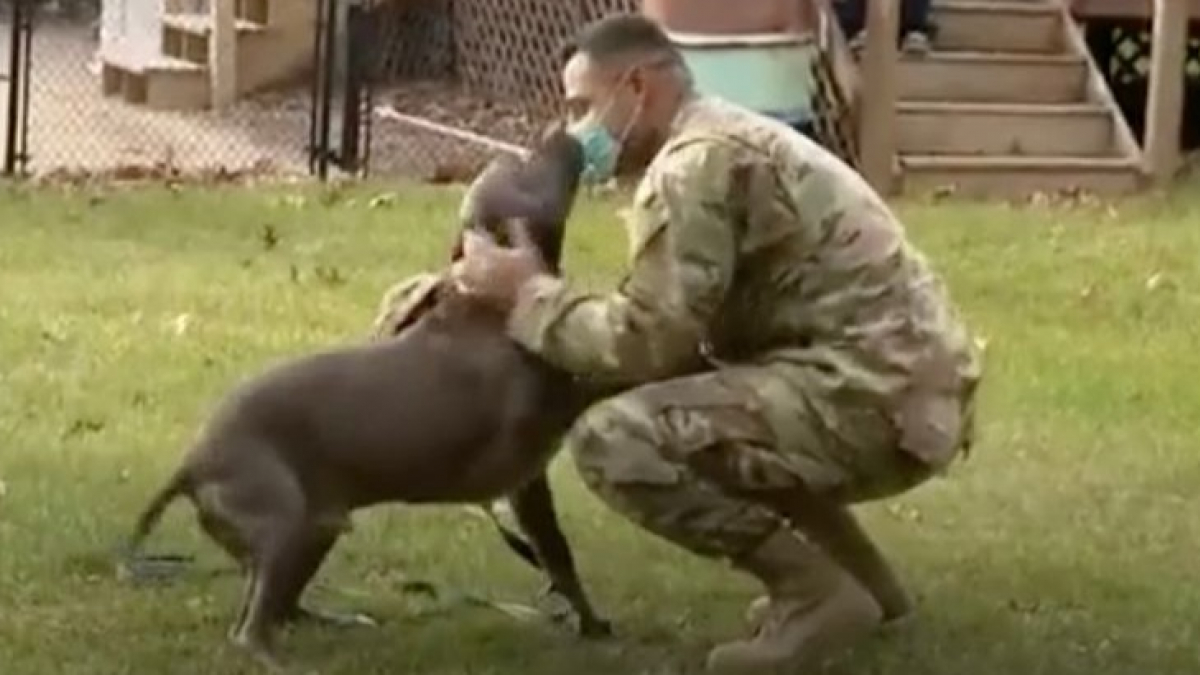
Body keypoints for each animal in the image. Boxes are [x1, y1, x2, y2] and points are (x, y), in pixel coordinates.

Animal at [125, 130, 604, 667]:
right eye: (524, 168)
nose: (559, 133)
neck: (477, 303)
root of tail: (190, 465)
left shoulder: (528, 483)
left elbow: (558, 556)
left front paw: (588, 621)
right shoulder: (546, 417)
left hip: (314, 530)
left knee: (278, 606)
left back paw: (329, 620)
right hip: (282, 521)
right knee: (249, 630)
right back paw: (281, 660)